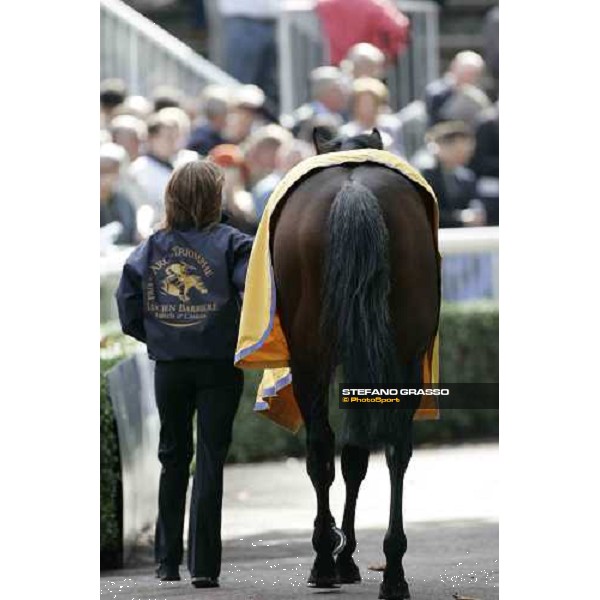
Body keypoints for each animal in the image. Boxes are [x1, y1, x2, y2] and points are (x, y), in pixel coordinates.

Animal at [270, 129, 438, 596]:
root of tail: (353, 190)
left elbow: (332, 454)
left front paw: (333, 556)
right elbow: (358, 455)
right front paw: (347, 556)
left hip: (309, 357)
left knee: (320, 448)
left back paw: (326, 559)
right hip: (405, 354)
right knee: (396, 448)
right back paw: (393, 571)